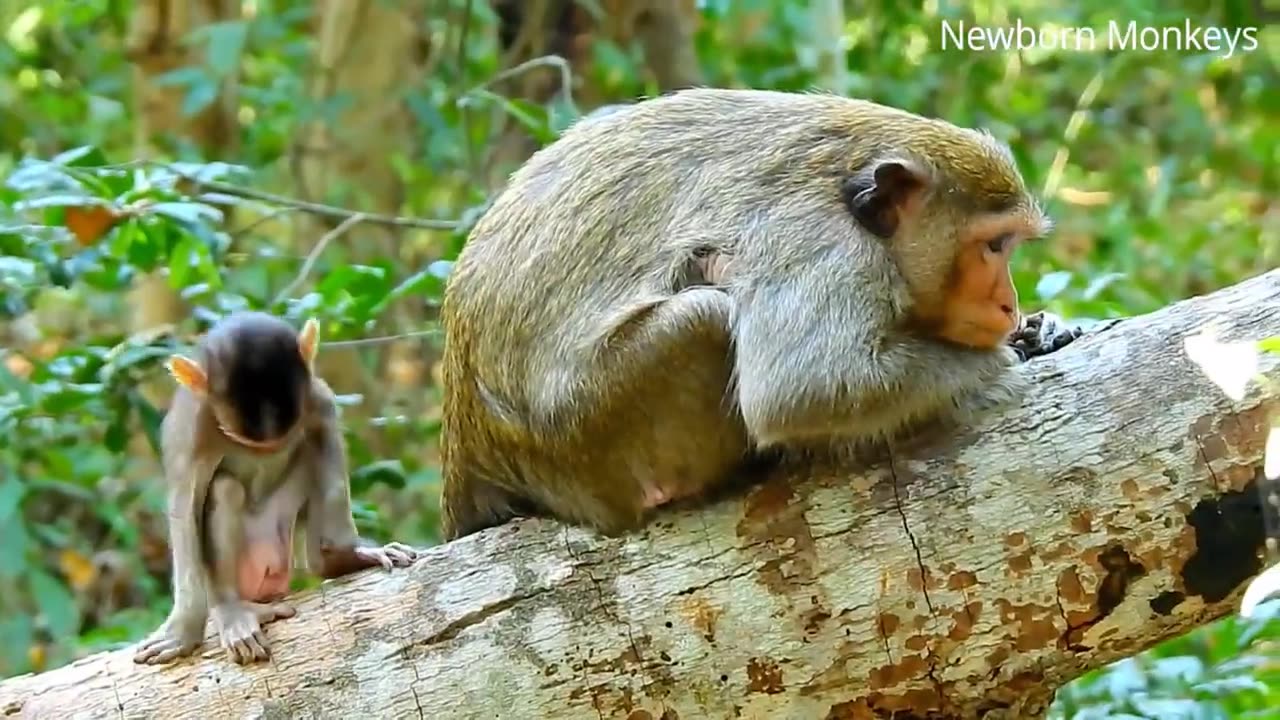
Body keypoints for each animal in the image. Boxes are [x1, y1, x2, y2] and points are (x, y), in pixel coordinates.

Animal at [134, 311, 417, 666]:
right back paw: (231, 608)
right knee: (225, 489)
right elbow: (184, 507)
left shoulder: (316, 398)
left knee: (311, 452)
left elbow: (324, 438)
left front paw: (347, 554)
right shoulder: (193, 429)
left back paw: (328, 562)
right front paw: (183, 630)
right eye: (235, 437)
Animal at [440, 88, 1090, 538]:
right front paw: (997, 367)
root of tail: (467, 447)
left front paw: (1039, 331)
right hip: (589, 441)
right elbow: (802, 388)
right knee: (706, 313)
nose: (1007, 302)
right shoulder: (817, 240)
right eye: (993, 246)